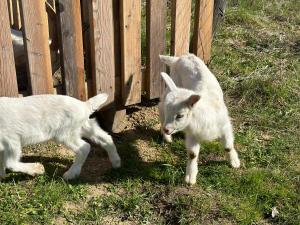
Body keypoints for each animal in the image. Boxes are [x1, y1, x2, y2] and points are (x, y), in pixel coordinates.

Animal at [158, 54, 240, 185]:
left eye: (180, 115)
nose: (166, 129)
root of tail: (179, 58)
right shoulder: (193, 135)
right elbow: (192, 155)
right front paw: (190, 177)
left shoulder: (225, 126)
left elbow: (228, 146)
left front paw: (234, 162)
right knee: (160, 107)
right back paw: (167, 138)